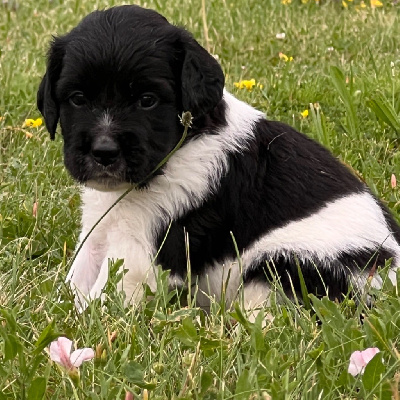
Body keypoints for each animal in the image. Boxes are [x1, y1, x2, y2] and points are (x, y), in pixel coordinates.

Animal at [37, 5, 400, 310]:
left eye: (147, 100)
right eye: (78, 99)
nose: (104, 151)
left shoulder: (142, 251)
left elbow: (101, 297)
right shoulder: (100, 228)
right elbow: (78, 278)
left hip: (287, 263)